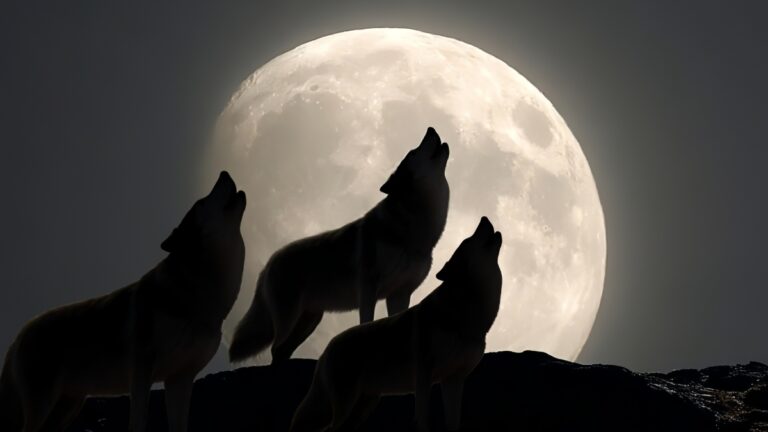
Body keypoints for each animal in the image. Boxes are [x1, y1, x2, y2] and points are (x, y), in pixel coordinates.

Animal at [0, 171, 246, 432]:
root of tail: (21, 331)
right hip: (44, 407)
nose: (224, 173)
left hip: (69, 407)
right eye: (200, 202)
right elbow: (138, 422)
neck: (196, 294)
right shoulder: (141, 374)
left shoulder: (180, 379)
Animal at [229, 127, 450, 364]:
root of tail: (270, 262)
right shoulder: (368, 288)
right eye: (412, 152)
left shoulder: (400, 294)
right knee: (276, 349)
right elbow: (366, 322)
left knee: (282, 351)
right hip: (290, 319)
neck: (412, 230)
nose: (430, 128)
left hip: (310, 321)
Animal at [289, 217, 503, 432]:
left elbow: (453, 423)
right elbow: (422, 420)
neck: (466, 314)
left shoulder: (454, 381)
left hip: (364, 407)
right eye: (468, 240)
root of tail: (327, 349)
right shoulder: (424, 376)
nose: (484, 218)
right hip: (346, 405)